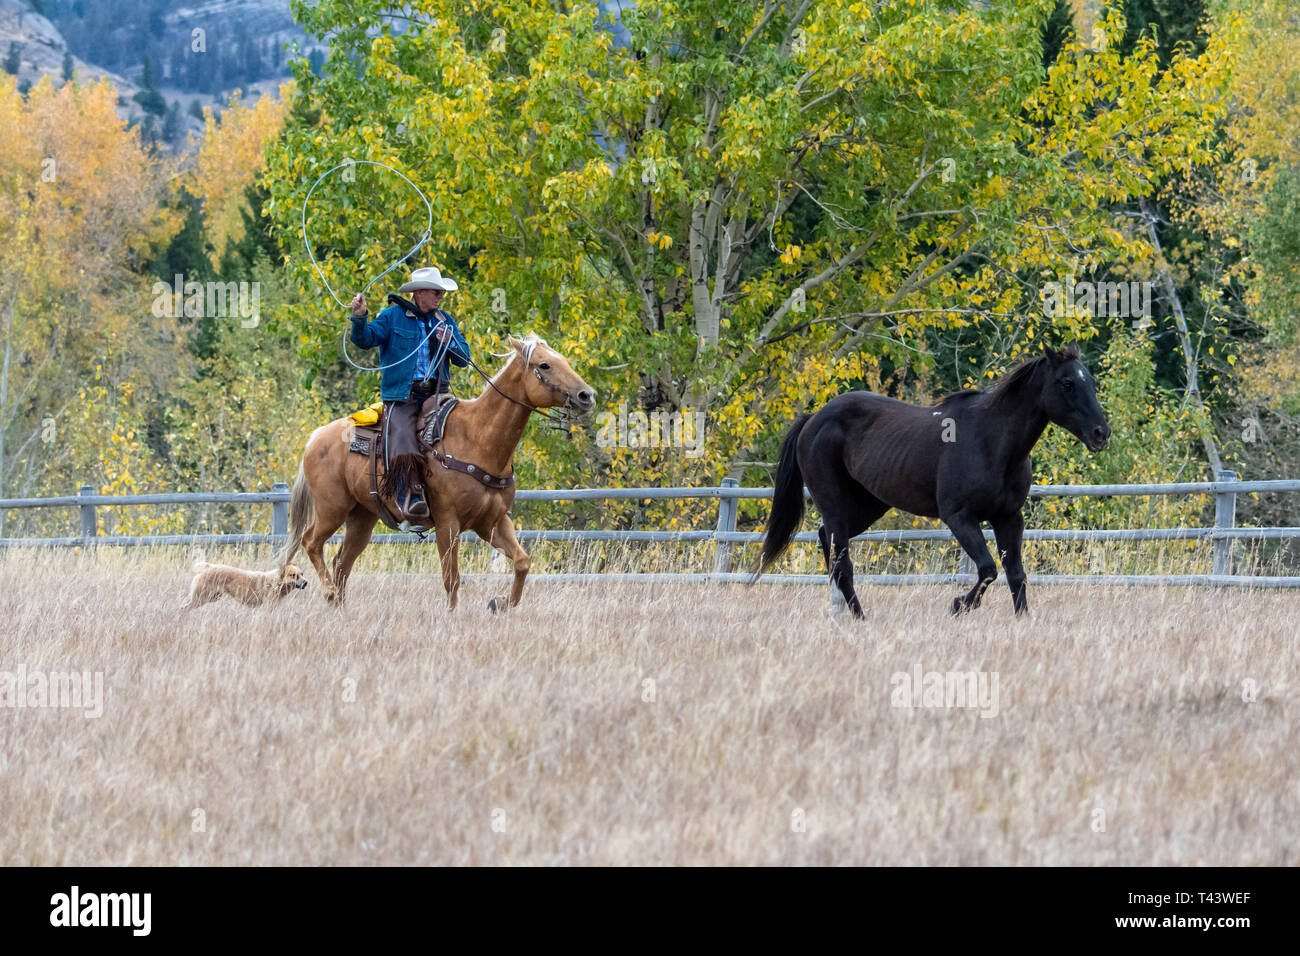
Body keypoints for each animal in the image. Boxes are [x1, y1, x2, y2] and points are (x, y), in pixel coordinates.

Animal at [279, 332, 598, 608]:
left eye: (565, 360)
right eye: (544, 365)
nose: (587, 395)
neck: (478, 439)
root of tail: (317, 436)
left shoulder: (493, 521)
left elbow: (522, 562)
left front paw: (500, 603)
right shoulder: (448, 523)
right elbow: (451, 580)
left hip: (362, 517)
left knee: (342, 563)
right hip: (332, 508)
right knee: (311, 543)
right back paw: (330, 593)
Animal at [759, 343, 1112, 621]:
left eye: (1092, 382)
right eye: (1067, 383)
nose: (1101, 433)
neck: (992, 442)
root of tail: (813, 420)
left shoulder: (1009, 518)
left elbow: (1016, 575)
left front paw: (1023, 620)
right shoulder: (959, 517)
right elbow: (988, 569)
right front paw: (958, 605)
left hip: (867, 506)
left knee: (829, 546)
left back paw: (841, 611)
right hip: (833, 503)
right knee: (842, 561)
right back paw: (859, 617)